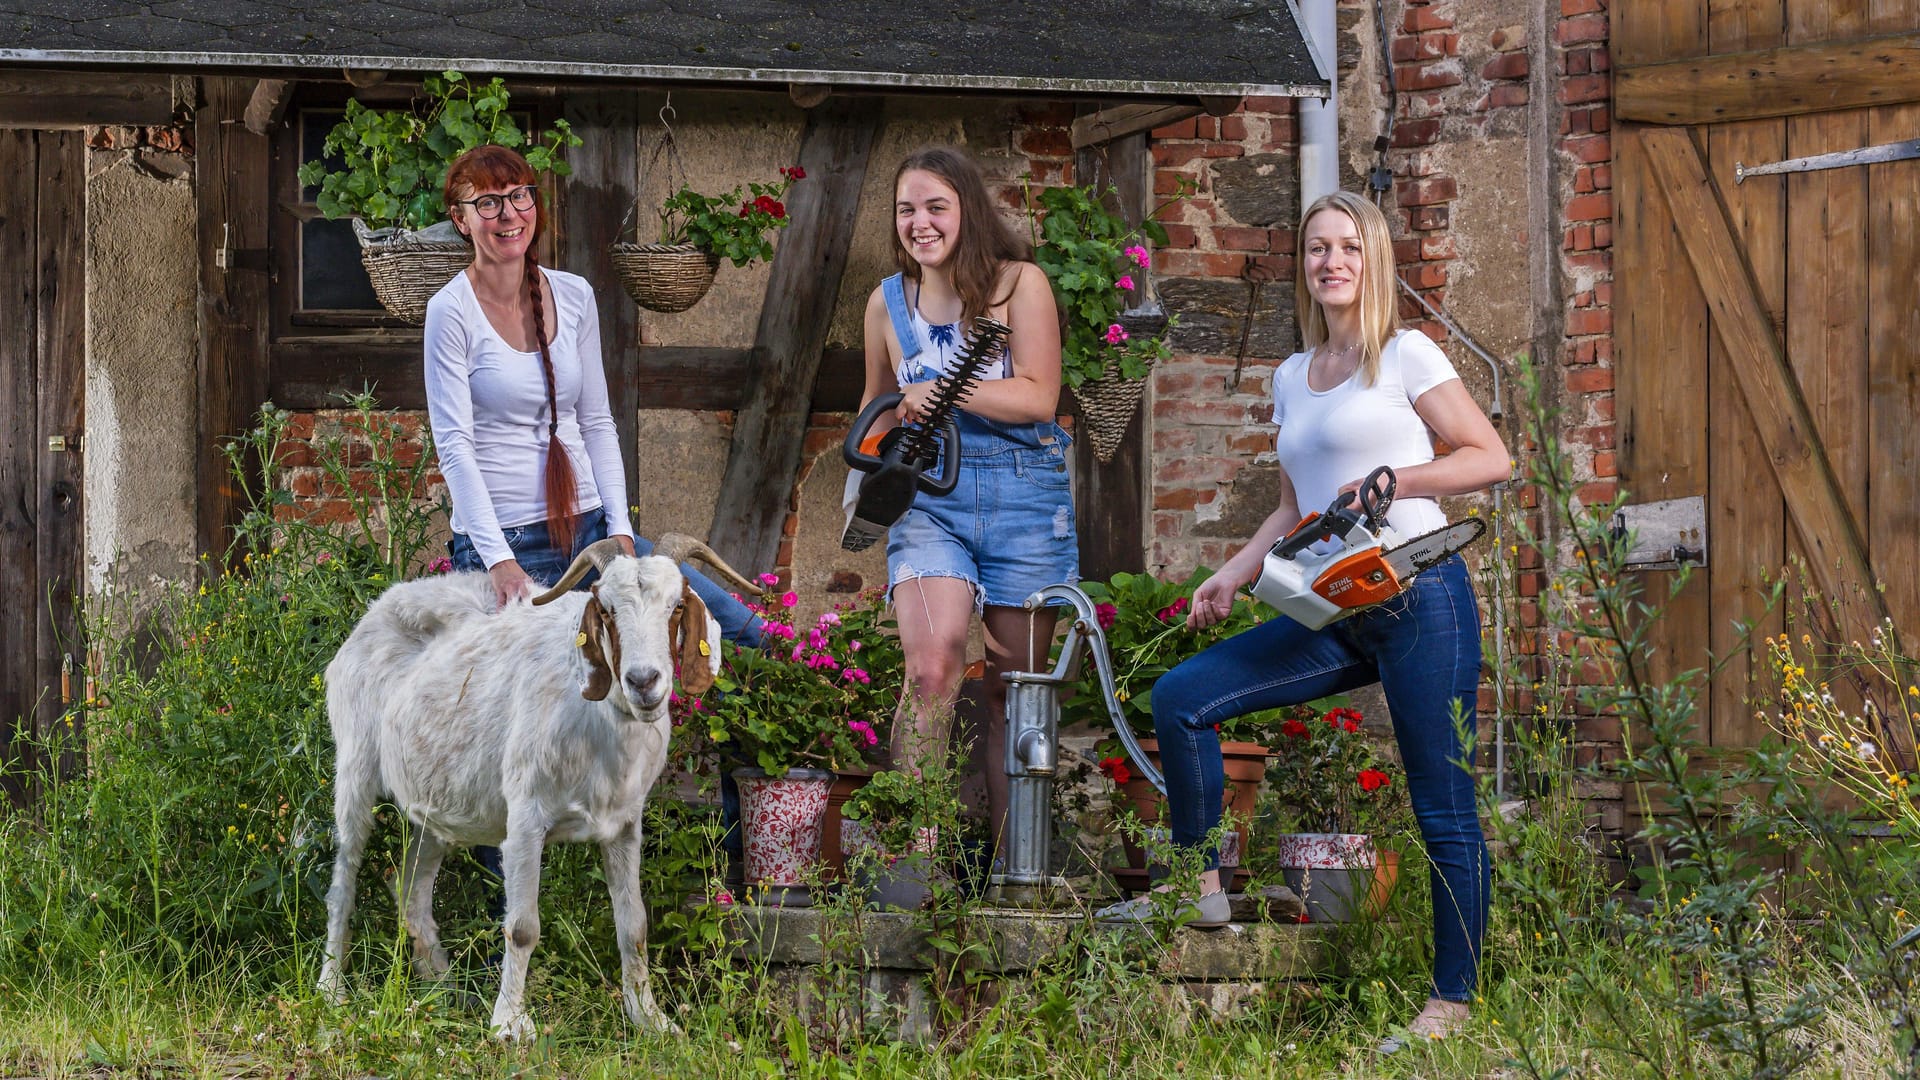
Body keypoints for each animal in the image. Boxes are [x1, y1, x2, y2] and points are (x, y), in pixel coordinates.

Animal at [312, 530, 748, 1037]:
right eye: (606, 611)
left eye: (676, 606)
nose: (644, 681)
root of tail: (378, 608)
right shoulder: (524, 820)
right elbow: (522, 927)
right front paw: (510, 1025)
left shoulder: (624, 825)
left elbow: (634, 925)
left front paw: (650, 1019)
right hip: (355, 771)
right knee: (343, 883)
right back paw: (331, 990)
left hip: (434, 805)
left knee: (409, 889)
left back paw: (444, 988)